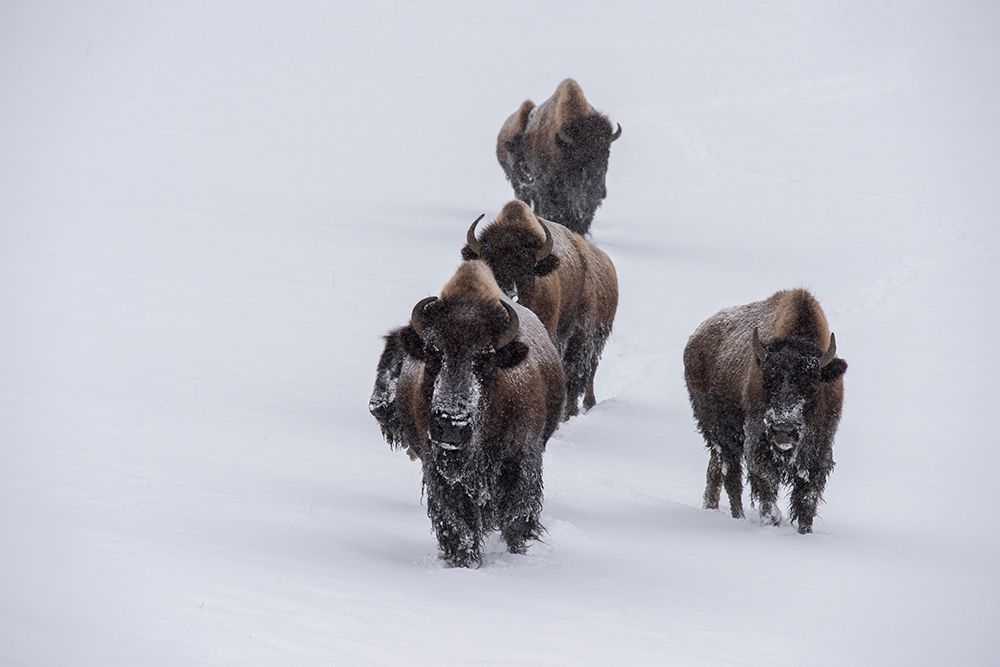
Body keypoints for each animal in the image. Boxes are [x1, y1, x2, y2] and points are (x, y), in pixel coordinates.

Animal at [392, 260, 564, 568]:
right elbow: (455, 522)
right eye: (433, 352)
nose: (451, 426)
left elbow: (516, 515)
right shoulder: (437, 469)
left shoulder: (520, 458)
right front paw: (464, 560)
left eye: (485, 358)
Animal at [684, 290, 848, 536]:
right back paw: (735, 516)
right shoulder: (758, 445)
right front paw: (772, 522)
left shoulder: (818, 451)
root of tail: (695, 338)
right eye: (769, 379)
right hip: (720, 434)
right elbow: (766, 486)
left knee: (717, 470)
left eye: (811, 383)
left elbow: (806, 498)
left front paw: (805, 532)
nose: (783, 429)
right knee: (730, 476)